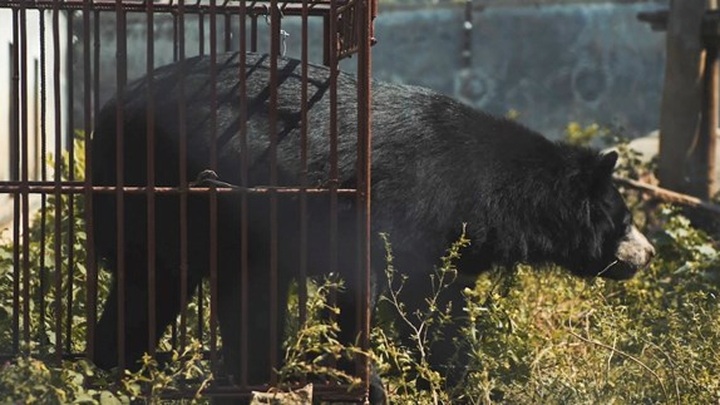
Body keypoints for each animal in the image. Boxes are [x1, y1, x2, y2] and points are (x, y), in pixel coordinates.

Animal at [91, 52, 655, 403]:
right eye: (625, 220)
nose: (648, 255)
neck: (491, 194)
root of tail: (111, 107)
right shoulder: (409, 209)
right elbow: (395, 298)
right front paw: (407, 383)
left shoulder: (443, 242)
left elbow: (413, 304)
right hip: (186, 185)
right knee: (175, 279)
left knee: (167, 288)